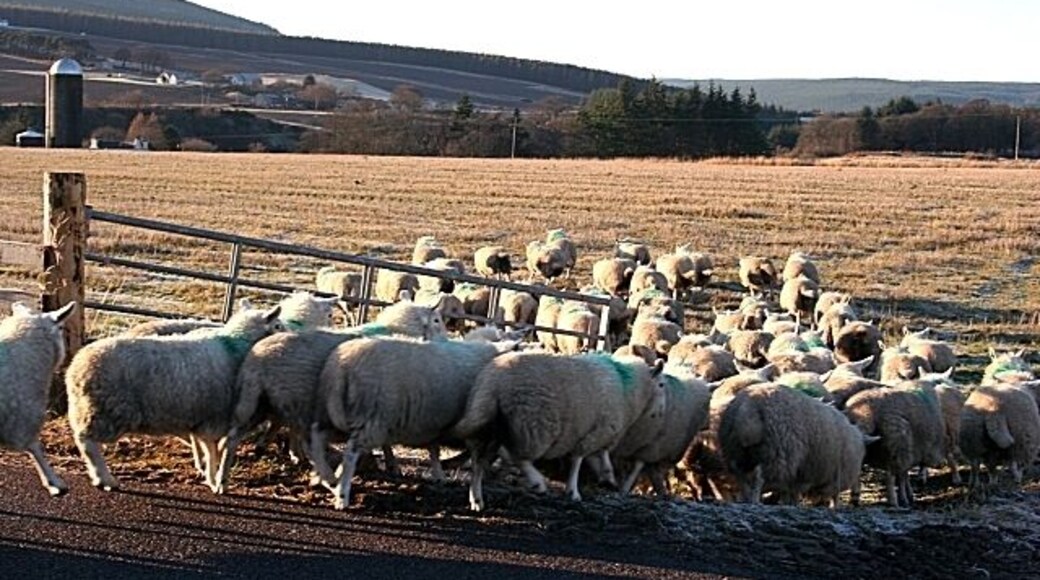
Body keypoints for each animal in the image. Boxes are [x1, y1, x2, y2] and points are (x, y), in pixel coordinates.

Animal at [65, 302, 284, 493]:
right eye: (278, 325)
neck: (235, 348)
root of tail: (75, 368)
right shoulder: (214, 418)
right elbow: (212, 452)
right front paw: (214, 479)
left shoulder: (204, 419)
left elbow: (208, 448)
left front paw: (208, 474)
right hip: (107, 411)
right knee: (86, 442)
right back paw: (104, 478)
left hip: (97, 409)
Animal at [313, 335, 523, 509]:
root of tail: (341, 365)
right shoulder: (480, 432)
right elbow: (478, 464)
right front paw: (476, 499)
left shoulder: (436, 423)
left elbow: (435, 449)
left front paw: (440, 475)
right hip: (371, 419)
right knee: (349, 454)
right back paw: (342, 495)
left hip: (340, 413)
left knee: (317, 435)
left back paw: (326, 477)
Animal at [454, 353, 666, 511]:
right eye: (662, 384)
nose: (661, 413)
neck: (627, 387)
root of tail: (493, 383)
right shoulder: (594, 433)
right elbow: (578, 460)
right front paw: (573, 491)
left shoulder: (597, 431)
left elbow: (602, 455)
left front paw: (607, 477)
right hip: (532, 426)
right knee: (515, 456)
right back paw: (537, 482)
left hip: (491, 423)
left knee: (479, 462)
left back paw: (476, 499)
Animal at [720, 384, 871, 507]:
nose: (856, 495)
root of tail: (748, 408)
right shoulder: (826, 475)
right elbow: (831, 496)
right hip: (776, 454)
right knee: (759, 477)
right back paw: (755, 500)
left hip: (737, 452)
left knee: (741, 475)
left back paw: (746, 498)